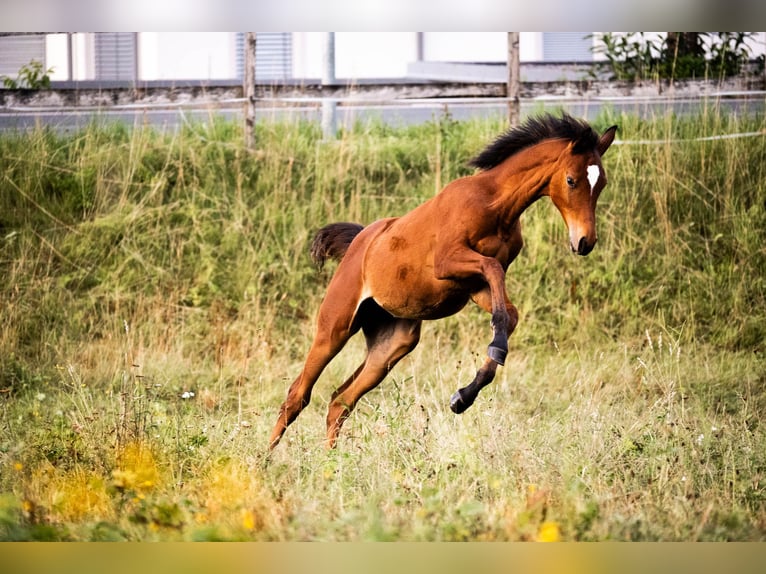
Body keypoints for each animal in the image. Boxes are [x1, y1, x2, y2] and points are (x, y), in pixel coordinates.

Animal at [269, 112, 618, 449]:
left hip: (392, 344)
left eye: (601, 183)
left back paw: (332, 463)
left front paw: (463, 397)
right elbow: (494, 272)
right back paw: (265, 461)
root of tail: (359, 241)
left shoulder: (475, 287)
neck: (494, 203)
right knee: (297, 396)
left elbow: (508, 313)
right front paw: (492, 355)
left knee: (340, 401)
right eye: (571, 180)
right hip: (335, 328)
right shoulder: (448, 262)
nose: (585, 241)